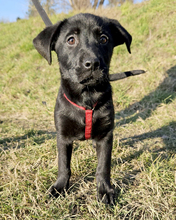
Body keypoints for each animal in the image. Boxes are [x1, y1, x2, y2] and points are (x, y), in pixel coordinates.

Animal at [33, 12, 132, 204]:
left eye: (103, 39)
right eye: (71, 40)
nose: (92, 63)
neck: (86, 97)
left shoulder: (105, 134)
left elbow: (103, 166)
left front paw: (104, 190)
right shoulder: (63, 136)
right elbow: (64, 165)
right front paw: (59, 187)